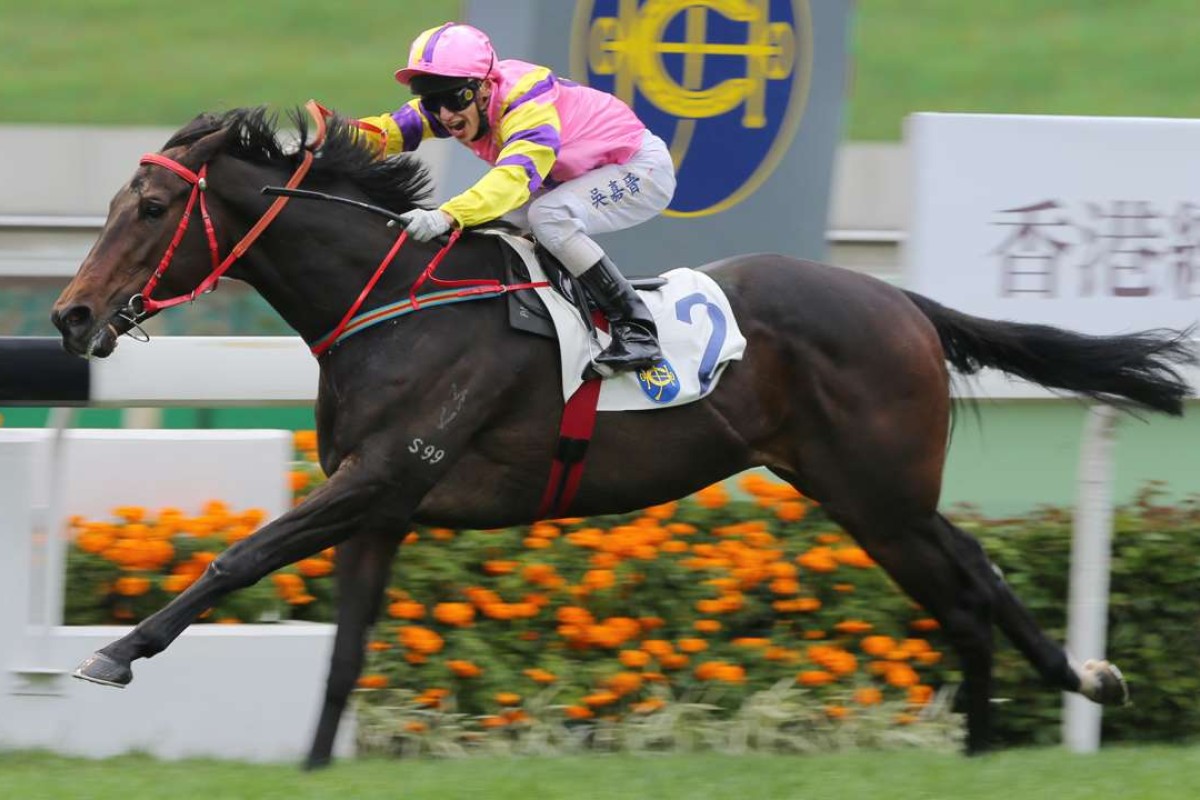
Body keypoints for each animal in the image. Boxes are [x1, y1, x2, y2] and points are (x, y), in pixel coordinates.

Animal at [50, 106, 1195, 767]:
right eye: (113, 201)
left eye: (149, 208)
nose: (69, 315)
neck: (397, 302)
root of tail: (902, 300)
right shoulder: (380, 505)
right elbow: (343, 653)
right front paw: (315, 765)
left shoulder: (379, 477)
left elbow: (237, 558)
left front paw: (112, 653)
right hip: (859, 497)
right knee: (963, 594)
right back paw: (997, 735)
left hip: (882, 491)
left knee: (977, 582)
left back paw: (1061, 696)